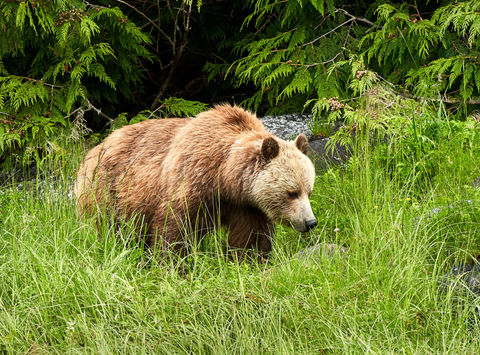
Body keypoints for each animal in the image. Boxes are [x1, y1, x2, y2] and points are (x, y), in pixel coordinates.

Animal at [74, 105, 316, 256]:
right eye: (292, 192)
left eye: (309, 191)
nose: (310, 222)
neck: (225, 176)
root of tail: (95, 148)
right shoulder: (193, 180)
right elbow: (176, 226)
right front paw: (175, 262)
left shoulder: (247, 206)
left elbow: (250, 238)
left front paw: (250, 259)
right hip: (109, 189)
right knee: (113, 229)